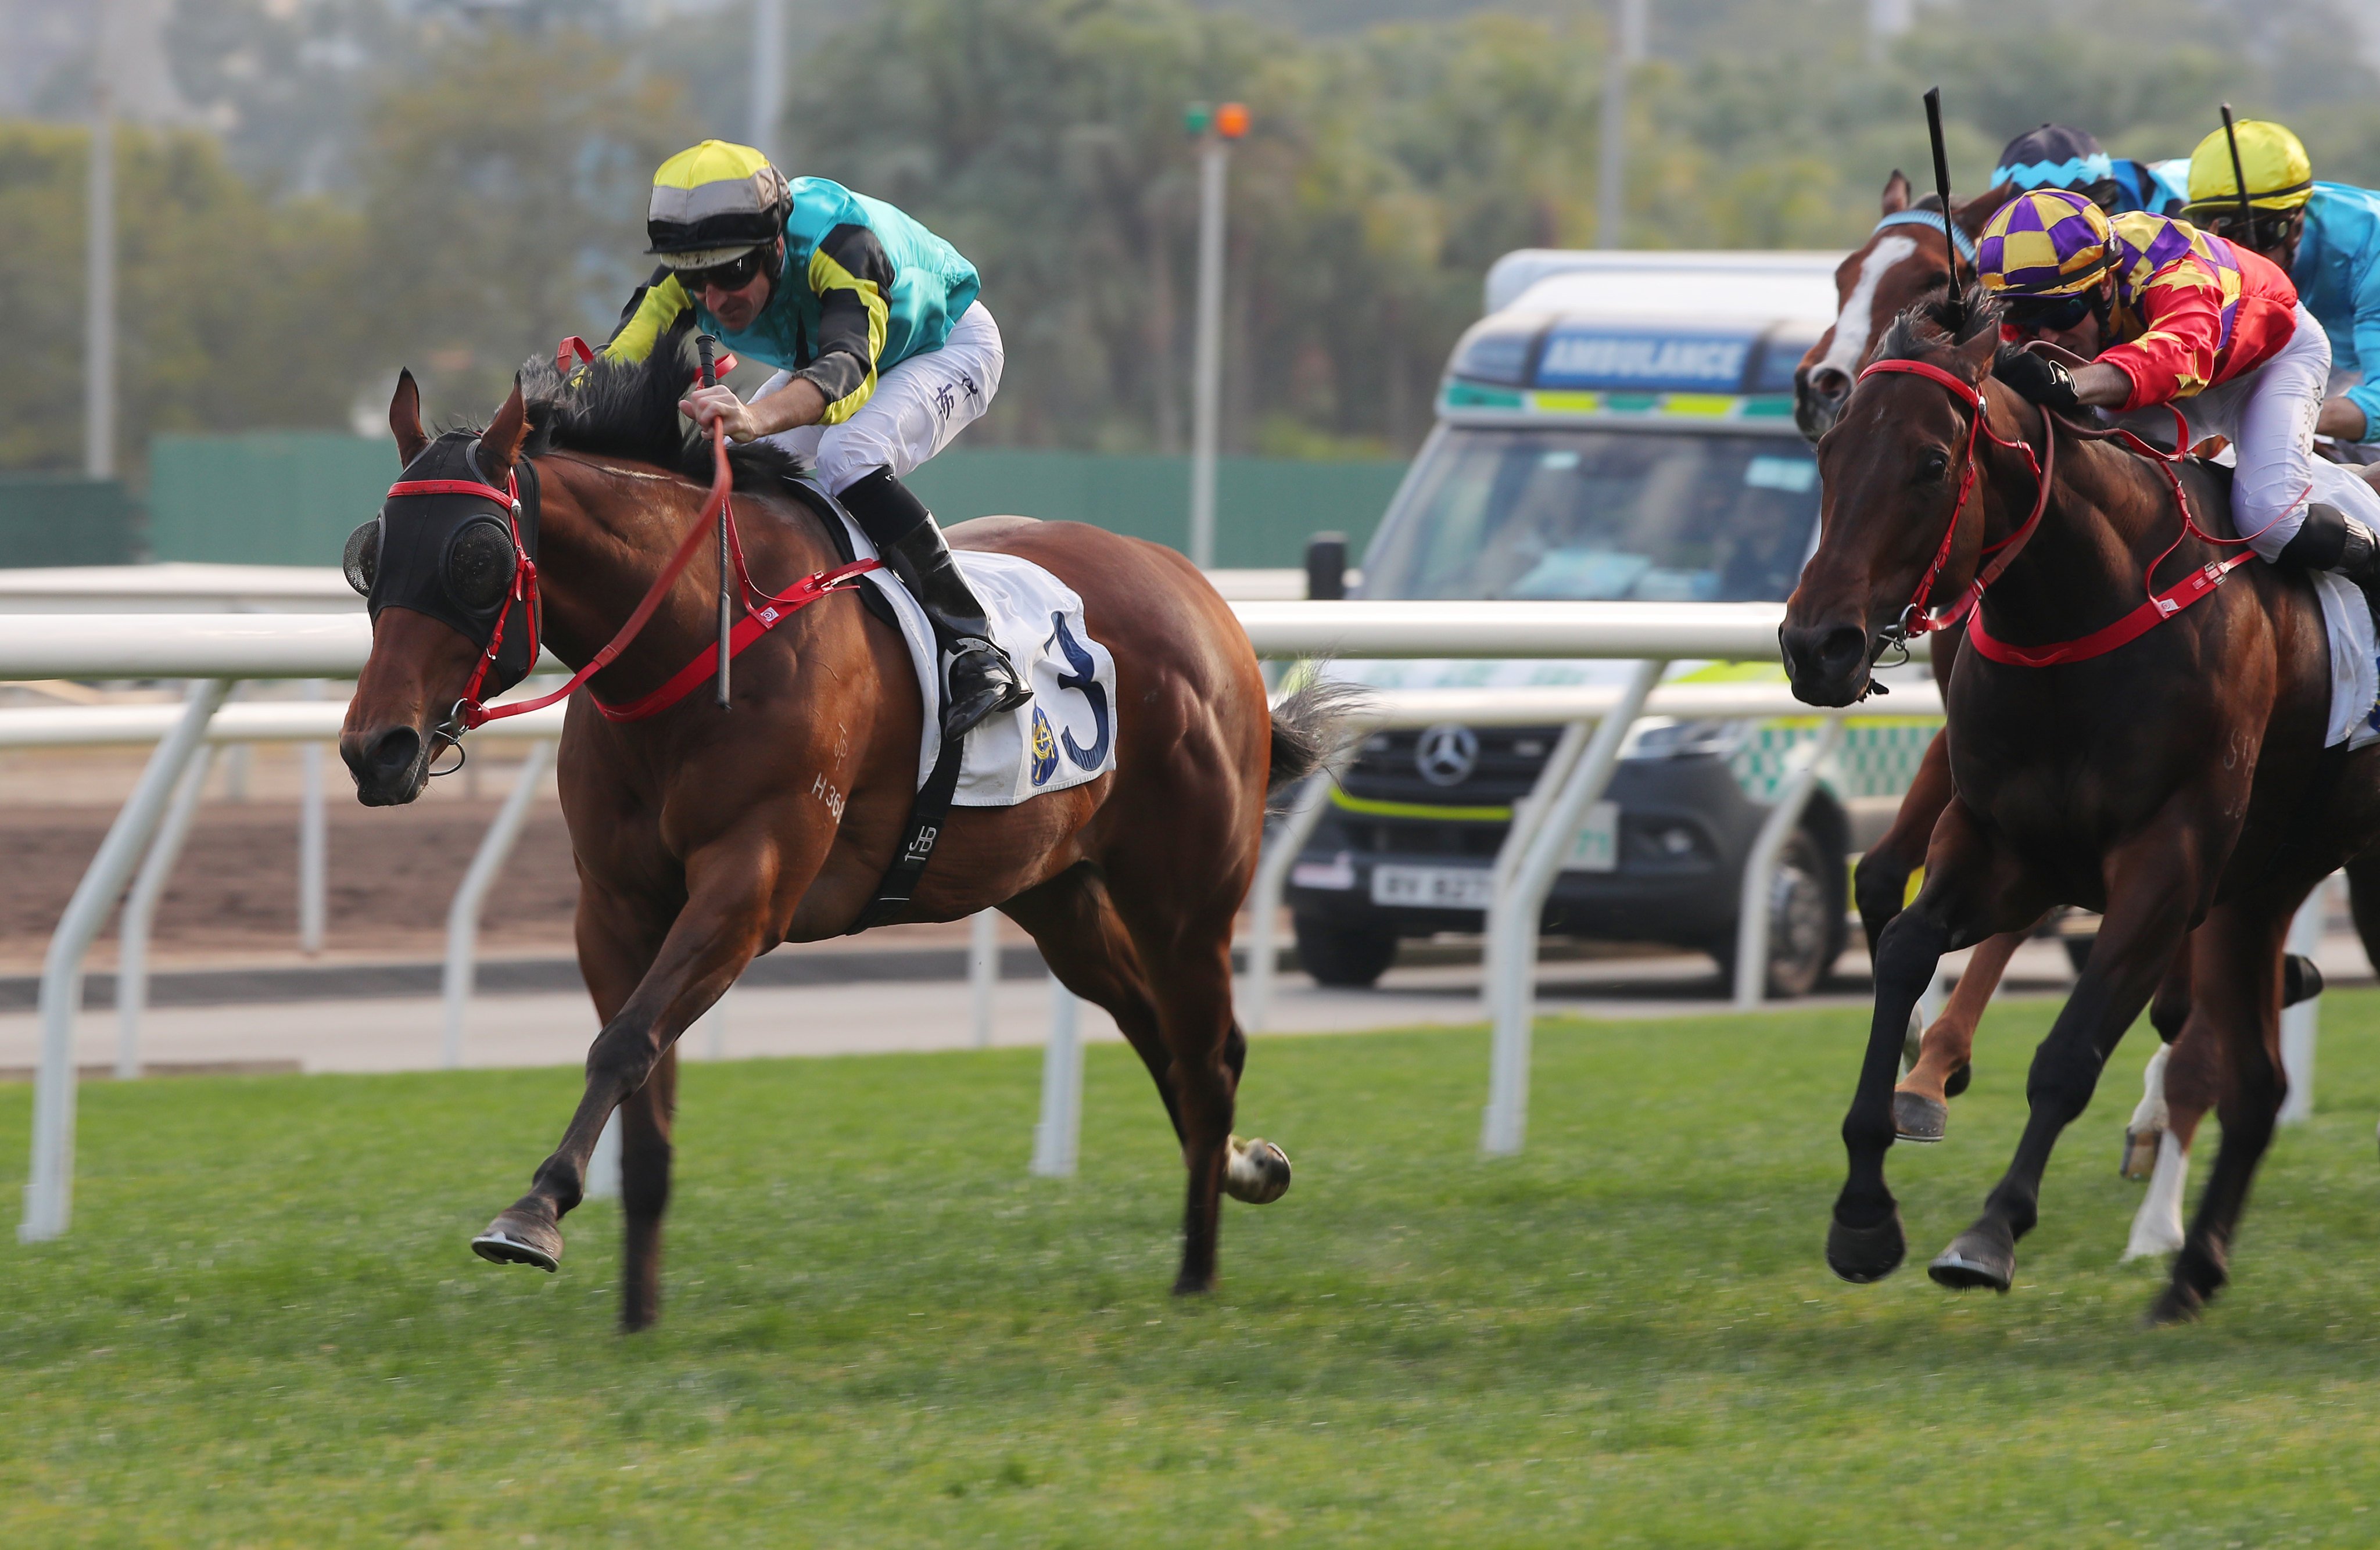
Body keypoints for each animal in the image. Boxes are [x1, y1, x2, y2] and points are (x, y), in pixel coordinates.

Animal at [338, 331, 1352, 1333]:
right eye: (371, 558)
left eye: (477, 558)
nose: (374, 749)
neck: (700, 641)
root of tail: (1199, 594)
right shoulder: (616, 905)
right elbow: (644, 1093)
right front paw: (636, 1314)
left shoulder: (751, 884)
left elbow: (624, 1044)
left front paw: (534, 1212)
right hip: (1058, 894)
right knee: (1155, 1031)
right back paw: (1245, 1168)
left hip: (1185, 897)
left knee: (1206, 1052)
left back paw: (1199, 1270)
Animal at [1790, 297, 2380, 1323]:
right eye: (1830, 453)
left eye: (1931, 463)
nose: (1814, 646)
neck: (2079, 615)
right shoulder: (2002, 845)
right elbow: (1903, 947)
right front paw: (1865, 1209)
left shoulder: (2166, 863)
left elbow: (2069, 1055)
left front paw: (1988, 1234)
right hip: (2263, 889)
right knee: (2258, 1085)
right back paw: (2190, 1277)